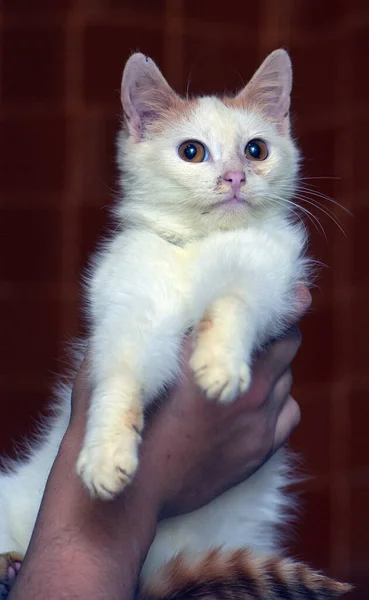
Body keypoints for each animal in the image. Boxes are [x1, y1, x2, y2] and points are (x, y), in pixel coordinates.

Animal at [0, 50, 350, 596]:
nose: (235, 177)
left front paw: (219, 363)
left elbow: (233, 301)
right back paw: (10, 563)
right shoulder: (130, 307)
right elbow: (122, 375)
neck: (197, 244)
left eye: (256, 150)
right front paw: (105, 452)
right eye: (192, 151)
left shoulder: (272, 280)